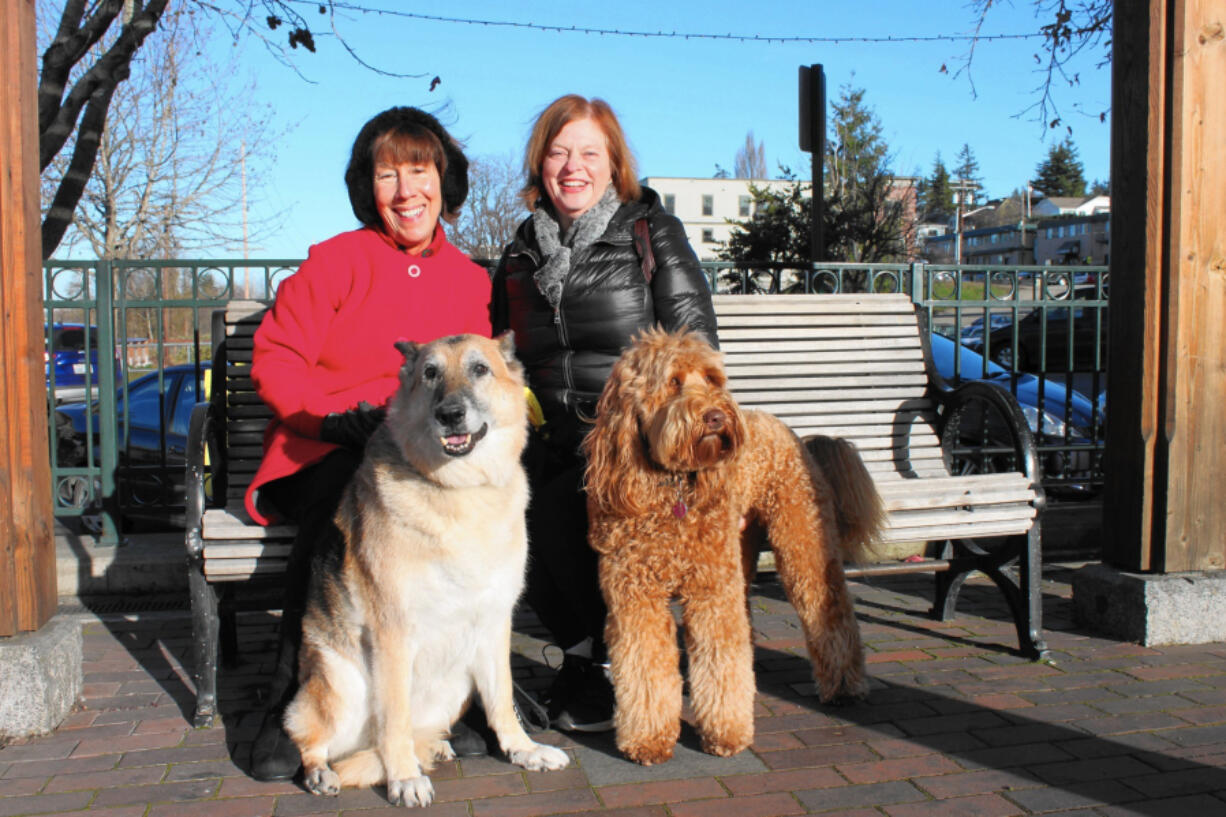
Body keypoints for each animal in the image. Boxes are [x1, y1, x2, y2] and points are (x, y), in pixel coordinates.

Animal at [285, 333, 568, 804]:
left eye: (480, 369)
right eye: (430, 373)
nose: (449, 415)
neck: (460, 489)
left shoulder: (495, 624)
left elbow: (503, 700)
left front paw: (523, 749)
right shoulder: (393, 633)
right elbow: (394, 719)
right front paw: (403, 778)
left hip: (456, 686)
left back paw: (435, 747)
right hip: (342, 687)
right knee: (313, 739)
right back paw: (325, 771)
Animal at [583, 326, 882, 765]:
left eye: (712, 379)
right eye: (673, 382)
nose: (716, 416)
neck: (672, 488)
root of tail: (794, 433)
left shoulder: (711, 593)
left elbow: (720, 658)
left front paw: (726, 732)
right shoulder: (635, 598)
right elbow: (644, 668)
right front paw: (648, 738)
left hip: (802, 545)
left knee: (832, 612)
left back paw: (844, 686)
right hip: (738, 553)